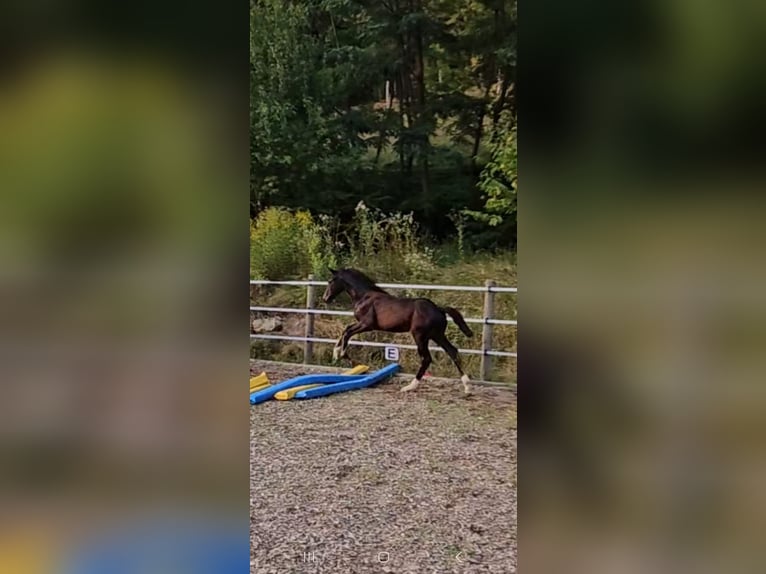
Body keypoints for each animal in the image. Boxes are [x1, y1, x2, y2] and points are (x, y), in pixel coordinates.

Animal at [320, 268, 476, 396]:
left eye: (330, 281)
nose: (325, 298)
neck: (365, 296)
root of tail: (438, 308)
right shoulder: (363, 324)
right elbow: (345, 330)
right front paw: (336, 353)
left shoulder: (367, 324)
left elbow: (347, 332)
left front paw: (343, 355)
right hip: (436, 335)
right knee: (452, 351)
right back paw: (467, 387)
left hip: (420, 336)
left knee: (427, 358)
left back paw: (410, 387)